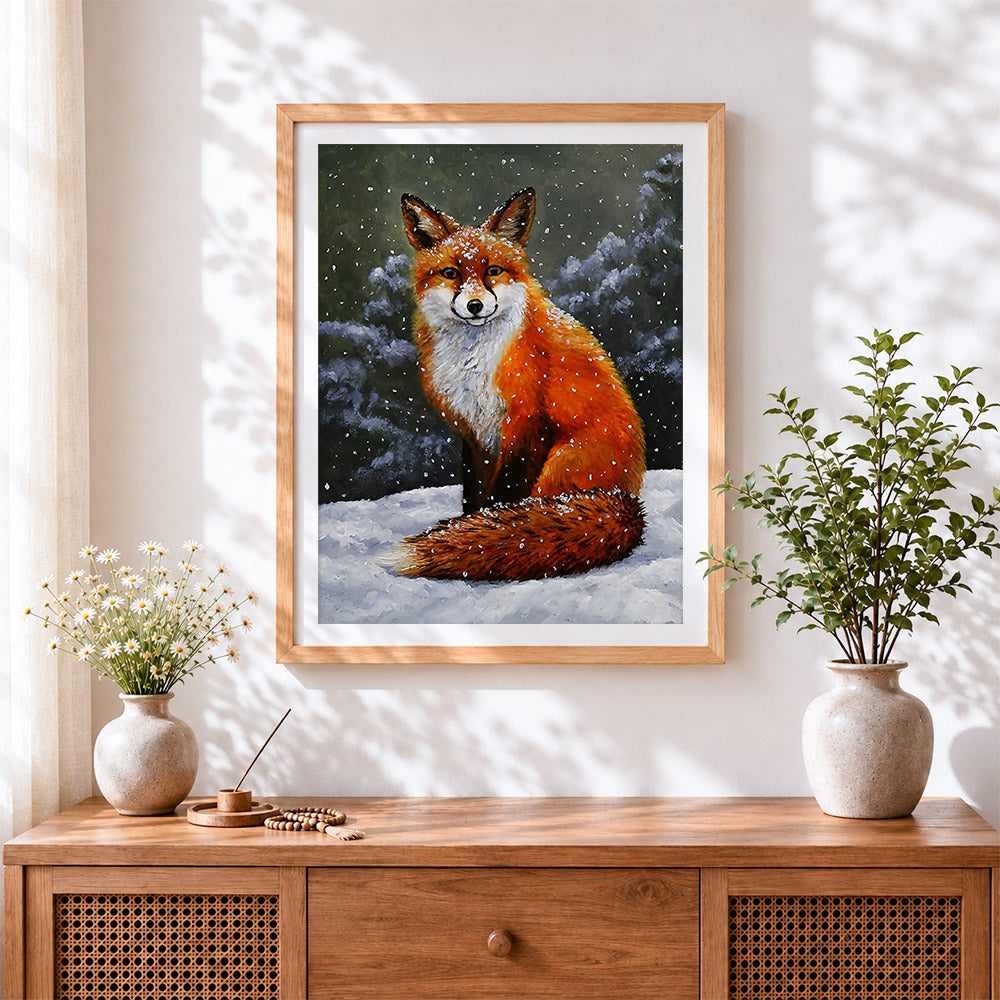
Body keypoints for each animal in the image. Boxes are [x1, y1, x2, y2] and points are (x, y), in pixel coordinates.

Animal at [388, 187, 646, 581]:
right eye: (450, 273)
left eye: (493, 271)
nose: (475, 305)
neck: (473, 361)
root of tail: (628, 498)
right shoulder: (474, 430)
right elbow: (475, 492)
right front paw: (467, 527)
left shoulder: (526, 421)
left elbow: (504, 494)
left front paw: (476, 536)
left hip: (561, 462)